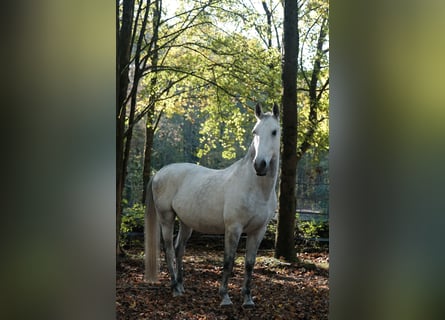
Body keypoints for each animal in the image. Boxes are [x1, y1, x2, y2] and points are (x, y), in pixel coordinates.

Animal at [144, 102, 280, 308]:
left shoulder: (258, 230)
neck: (254, 187)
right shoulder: (233, 228)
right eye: (255, 132)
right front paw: (225, 297)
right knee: (168, 249)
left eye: (274, 131)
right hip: (166, 218)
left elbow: (249, 264)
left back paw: (181, 286)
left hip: (186, 223)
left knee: (179, 248)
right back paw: (174, 288)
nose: (260, 165)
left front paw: (248, 299)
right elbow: (228, 261)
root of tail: (160, 172)